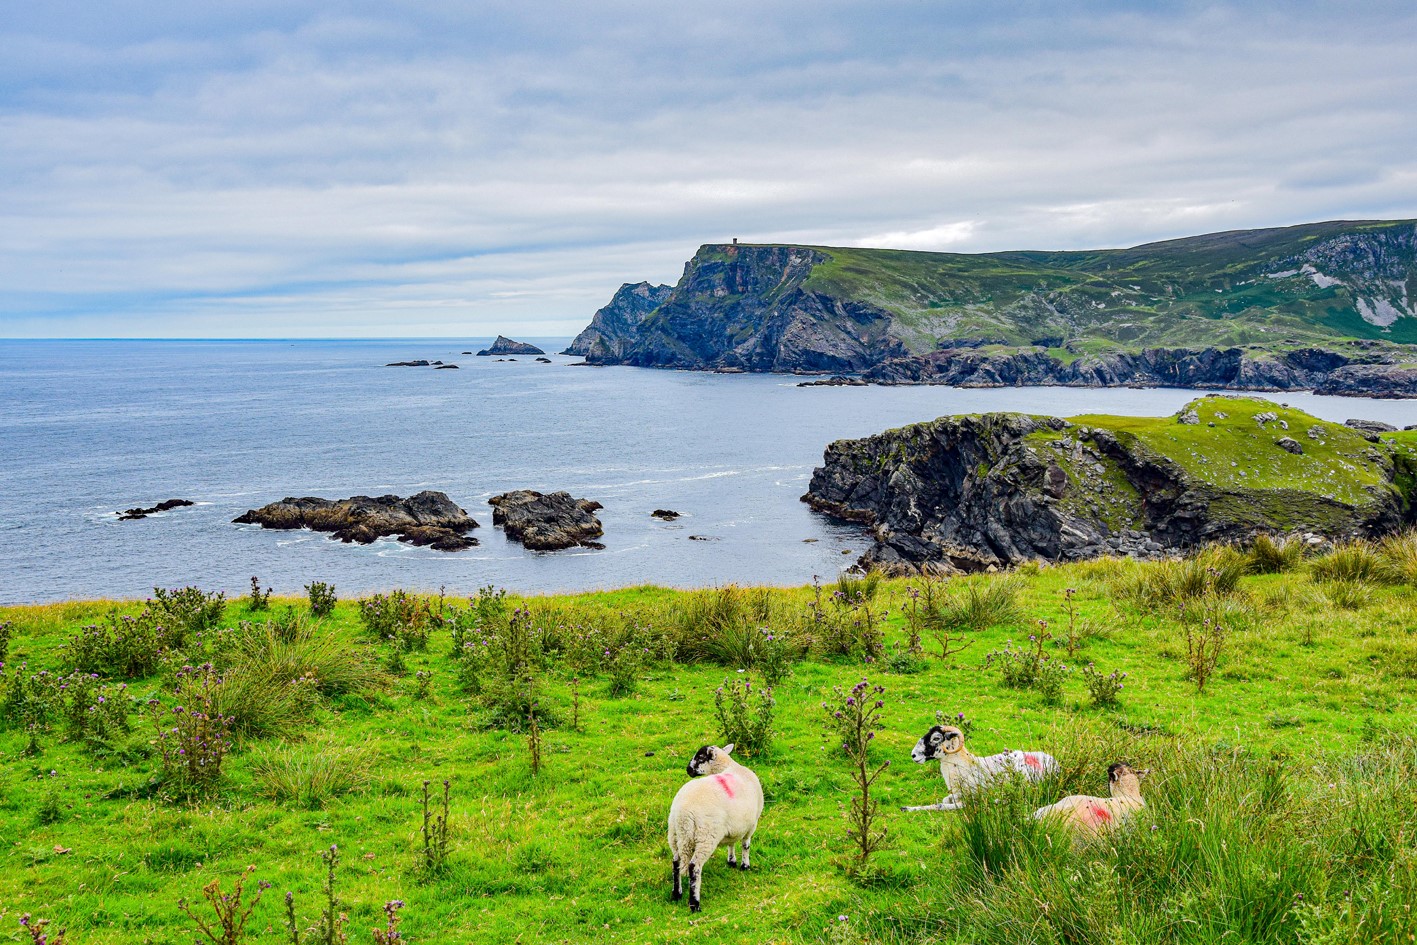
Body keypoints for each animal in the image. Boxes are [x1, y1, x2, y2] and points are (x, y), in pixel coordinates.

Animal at [665, 742, 765, 912]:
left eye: (700, 757)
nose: (688, 769)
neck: (729, 767)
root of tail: (683, 815)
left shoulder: (735, 826)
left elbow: (732, 843)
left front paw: (732, 861)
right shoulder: (751, 825)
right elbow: (746, 846)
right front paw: (745, 865)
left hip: (675, 835)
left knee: (676, 862)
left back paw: (676, 894)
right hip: (706, 837)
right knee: (694, 867)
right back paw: (694, 903)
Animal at [901, 725, 1059, 816]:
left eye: (936, 738)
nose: (913, 755)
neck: (963, 765)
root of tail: (1055, 762)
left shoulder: (969, 799)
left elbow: (941, 805)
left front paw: (908, 808)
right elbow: (945, 799)